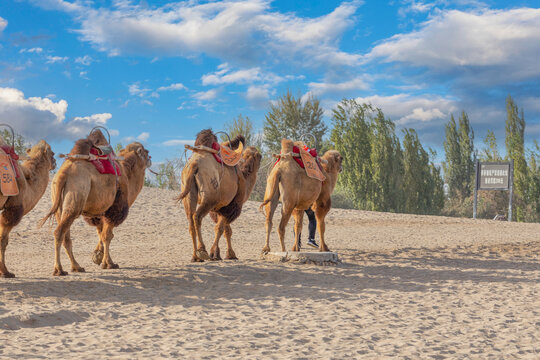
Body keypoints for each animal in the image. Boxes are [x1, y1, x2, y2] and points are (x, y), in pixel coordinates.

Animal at [39, 132, 151, 276]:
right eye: (145, 152)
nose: (150, 158)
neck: (126, 173)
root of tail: (63, 173)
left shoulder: (98, 212)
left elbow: (101, 233)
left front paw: (98, 256)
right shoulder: (113, 209)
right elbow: (107, 236)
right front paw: (108, 263)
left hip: (59, 204)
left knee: (66, 237)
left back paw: (77, 267)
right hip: (75, 202)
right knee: (59, 232)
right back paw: (59, 269)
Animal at [177, 129, 262, 262]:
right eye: (260, 156)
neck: (244, 177)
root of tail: (194, 165)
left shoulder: (220, 208)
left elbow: (226, 230)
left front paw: (229, 254)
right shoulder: (231, 206)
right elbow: (220, 229)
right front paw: (216, 254)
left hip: (188, 192)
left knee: (190, 220)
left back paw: (195, 257)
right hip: (210, 196)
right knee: (197, 216)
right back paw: (202, 251)